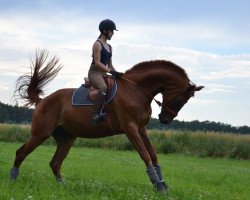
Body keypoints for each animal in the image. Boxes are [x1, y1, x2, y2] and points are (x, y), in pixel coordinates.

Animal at [10, 50, 204, 192]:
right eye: (179, 100)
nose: (165, 120)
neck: (136, 90)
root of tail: (42, 101)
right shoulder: (130, 128)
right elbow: (145, 155)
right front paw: (158, 185)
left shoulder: (141, 129)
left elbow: (153, 154)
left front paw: (161, 182)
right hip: (41, 133)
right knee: (21, 153)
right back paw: (12, 178)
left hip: (67, 138)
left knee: (55, 162)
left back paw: (63, 185)